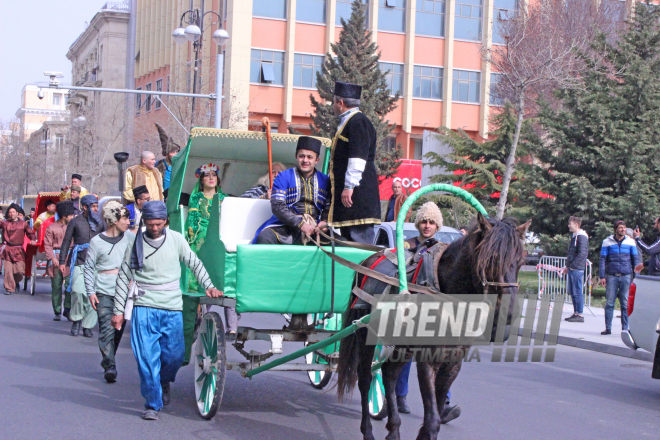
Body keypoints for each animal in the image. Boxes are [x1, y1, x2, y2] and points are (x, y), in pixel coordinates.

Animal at [338, 211, 528, 438]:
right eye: (491, 259)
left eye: (521, 260)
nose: (508, 314)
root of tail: (369, 259)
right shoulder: (427, 359)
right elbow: (432, 420)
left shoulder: (453, 362)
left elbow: (435, 411)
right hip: (365, 334)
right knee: (366, 378)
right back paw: (367, 430)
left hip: (401, 345)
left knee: (389, 374)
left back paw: (394, 429)